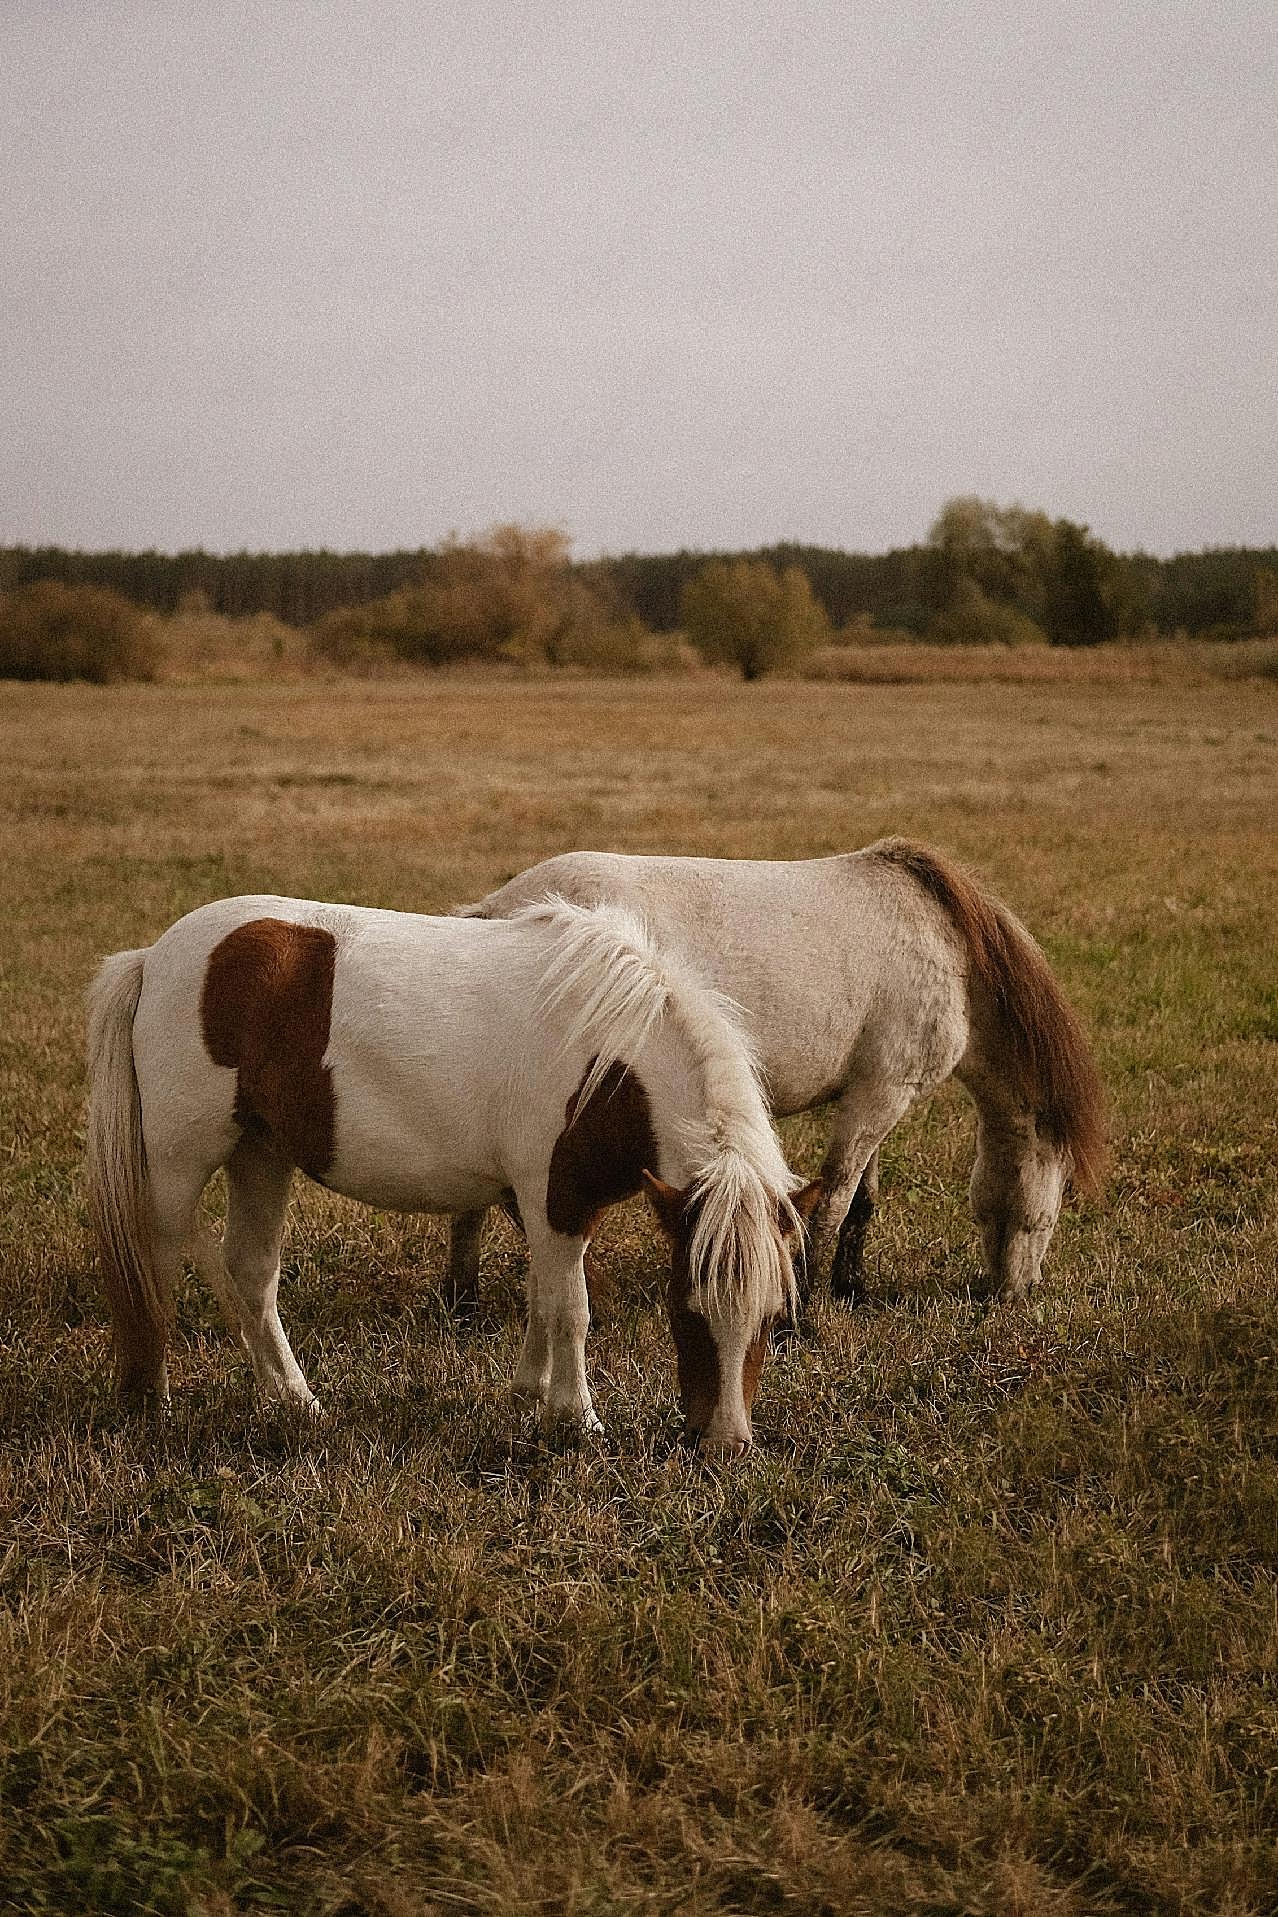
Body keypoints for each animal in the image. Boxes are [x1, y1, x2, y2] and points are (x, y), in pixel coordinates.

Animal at [84, 897, 820, 1449]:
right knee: (156, 1263)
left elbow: (542, 1298)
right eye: (685, 1307)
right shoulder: (555, 1199)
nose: (725, 1443)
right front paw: (576, 1418)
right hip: (181, 1162)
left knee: (251, 1272)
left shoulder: (547, 1206)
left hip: (260, 1153)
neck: (608, 1057)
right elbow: (573, 1309)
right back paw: (152, 1397)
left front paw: (529, 1393)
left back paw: (292, 1399)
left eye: (774, 1315)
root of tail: (153, 959)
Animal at [454, 843, 1103, 1318]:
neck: (953, 952)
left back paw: (464, 1302)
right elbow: (834, 1200)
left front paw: (851, 1290)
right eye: (1055, 1206)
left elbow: (862, 1201)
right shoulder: (882, 1096)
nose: (1014, 1295)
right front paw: (804, 1308)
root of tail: (494, 909)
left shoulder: (870, 1096)